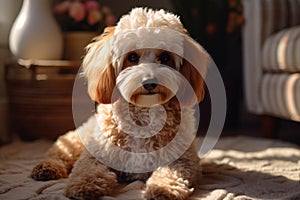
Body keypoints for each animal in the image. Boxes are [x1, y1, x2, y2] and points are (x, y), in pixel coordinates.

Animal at [30, 7, 209, 200]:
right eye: (132, 57)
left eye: (165, 57)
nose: (149, 82)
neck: (143, 113)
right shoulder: (95, 154)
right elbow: (86, 168)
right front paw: (84, 184)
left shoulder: (183, 161)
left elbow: (171, 173)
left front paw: (163, 189)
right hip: (78, 139)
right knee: (60, 152)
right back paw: (46, 167)